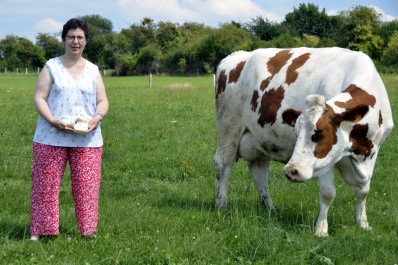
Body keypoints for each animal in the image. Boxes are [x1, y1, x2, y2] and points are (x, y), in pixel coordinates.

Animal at [213, 47, 394, 235]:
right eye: (296, 132)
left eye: (319, 134)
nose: (291, 171)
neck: (358, 150)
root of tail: (236, 55)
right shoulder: (326, 160)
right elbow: (328, 193)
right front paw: (321, 230)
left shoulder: (373, 151)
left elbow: (363, 191)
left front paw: (363, 223)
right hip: (229, 127)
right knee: (223, 164)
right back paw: (221, 205)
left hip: (260, 139)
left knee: (259, 171)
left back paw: (270, 209)